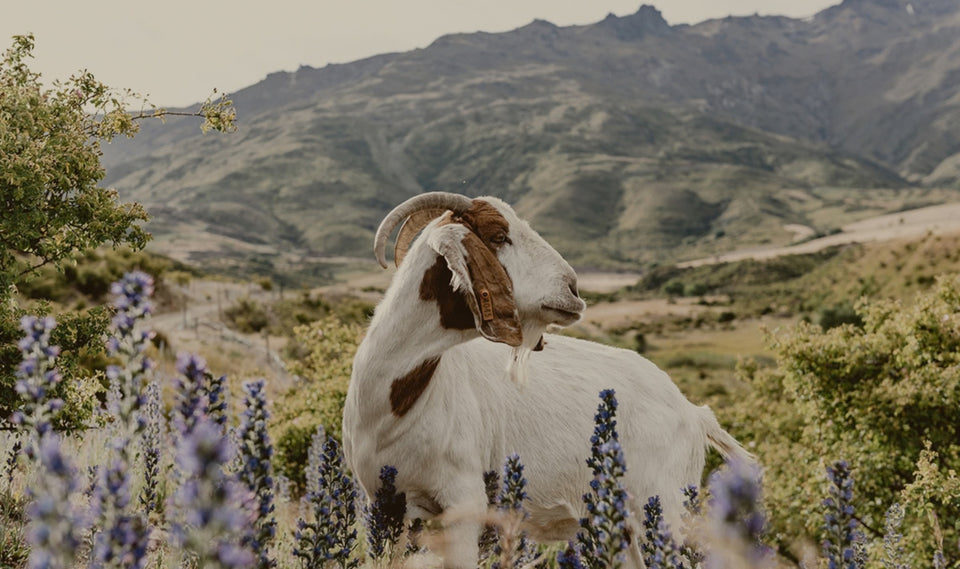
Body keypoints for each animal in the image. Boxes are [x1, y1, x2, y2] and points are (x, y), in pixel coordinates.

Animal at [342, 192, 750, 568]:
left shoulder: (463, 503)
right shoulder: (386, 505)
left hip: (666, 505)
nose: (573, 291)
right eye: (498, 235)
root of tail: (692, 412)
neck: (393, 408)